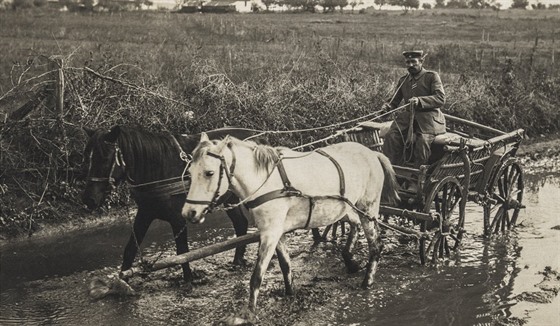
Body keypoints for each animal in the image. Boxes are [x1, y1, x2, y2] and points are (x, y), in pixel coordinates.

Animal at [81, 126, 260, 286]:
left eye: (104, 158)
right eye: (87, 157)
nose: (88, 199)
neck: (159, 169)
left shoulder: (178, 219)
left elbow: (182, 252)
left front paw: (188, 281)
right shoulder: (145, 213)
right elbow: (130, 249)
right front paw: (122, 282)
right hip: (230, 197)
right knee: (241, 224)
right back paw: (237, 261)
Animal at [182, 133, 400, 316]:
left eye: (209, 173)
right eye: (190, 173)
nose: (188, 213)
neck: (264, 181)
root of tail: (372, 153)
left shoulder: (270, 233)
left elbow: (257, 276)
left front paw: (248, 314)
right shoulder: (276, 231)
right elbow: (286, 266)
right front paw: (290, 294)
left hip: (368, 210)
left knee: (376, 245)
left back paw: (367, 282)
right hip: (348, 209)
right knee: (355, 227)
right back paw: (351, 262)